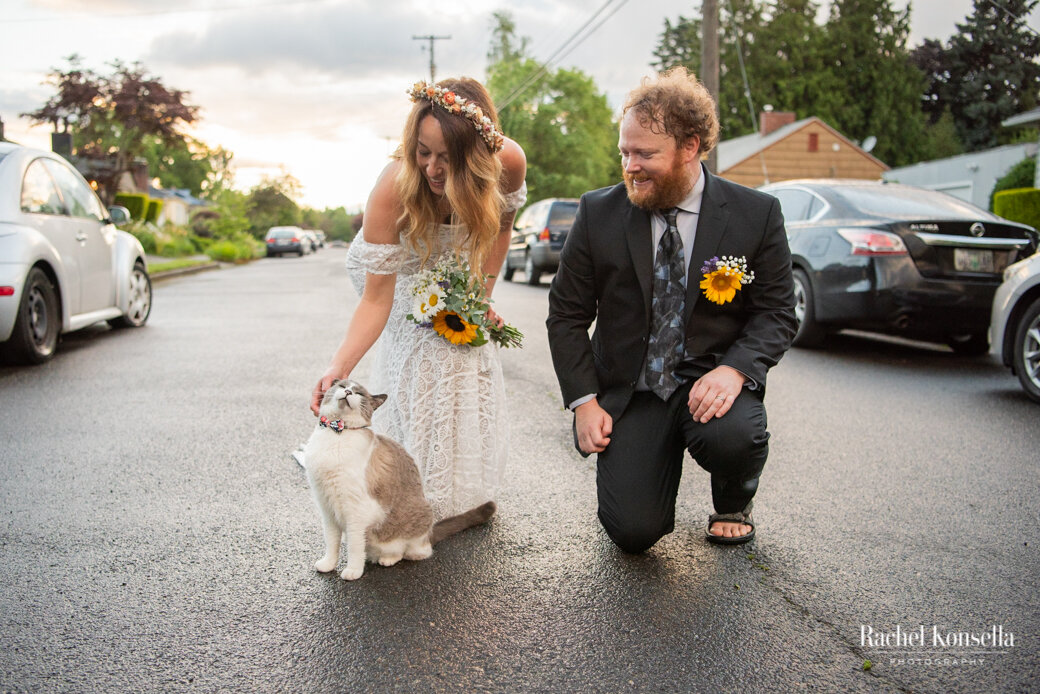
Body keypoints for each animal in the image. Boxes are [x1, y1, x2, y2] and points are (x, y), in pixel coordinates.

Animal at [303, 380, 497, 582]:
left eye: (359, 394)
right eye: (342, 386)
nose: (348, 392)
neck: (337, 434)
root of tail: (429, 533)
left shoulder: (355, 512)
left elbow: (354, 548)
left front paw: (352, 572)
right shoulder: (327, 509)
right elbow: (331, 543)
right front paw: (327, 566)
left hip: (413, 526)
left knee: (412, 552)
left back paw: (387, 559)